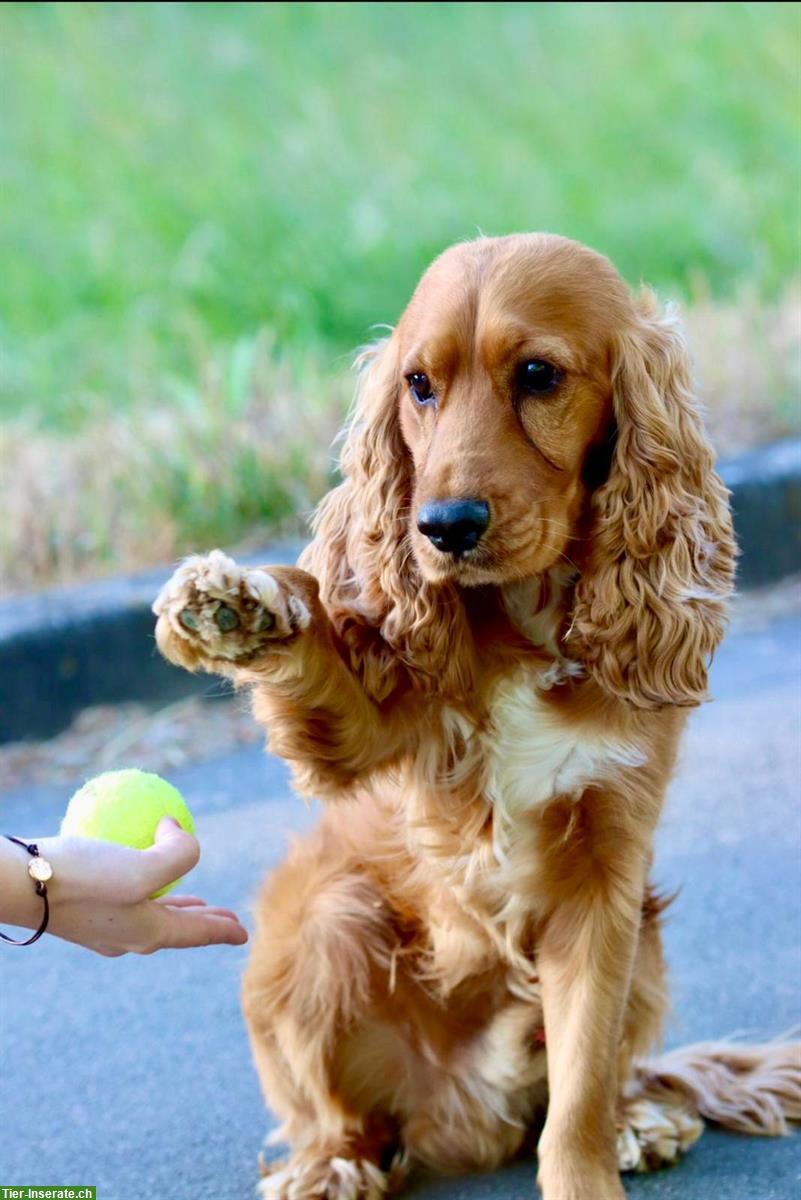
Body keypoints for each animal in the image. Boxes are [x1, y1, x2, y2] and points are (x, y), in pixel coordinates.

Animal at [153, 236, 796, 1200]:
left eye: (536, 374)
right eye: (418, 385)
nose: (442, 526)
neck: (527, 623)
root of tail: (463, 1119)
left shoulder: (604, 874)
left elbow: (578, 1085)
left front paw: (588, 1169)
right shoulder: (372, 740)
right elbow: (326, 663)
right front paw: (245, 606)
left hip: (645, 937)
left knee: (602, 1076)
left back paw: (638, 1117)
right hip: (321, 925)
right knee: (343, 1114)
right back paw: (332, 1164)